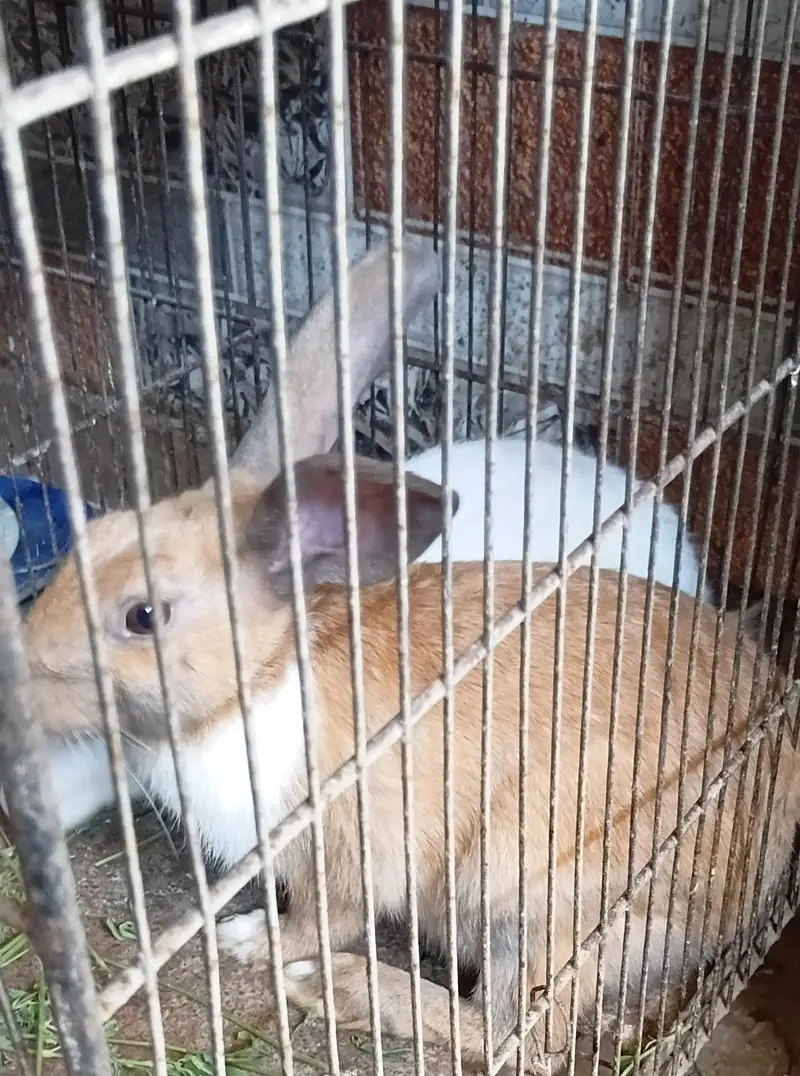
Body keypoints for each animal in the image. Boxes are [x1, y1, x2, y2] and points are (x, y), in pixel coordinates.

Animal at [21, 431, 799, 1073]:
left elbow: (319, 918)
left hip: (540, 901)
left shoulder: (347, 848)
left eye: (143, 615)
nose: (22, 667)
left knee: (516, 1036)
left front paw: (252, 943)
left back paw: (337, 988)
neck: (265, 675)